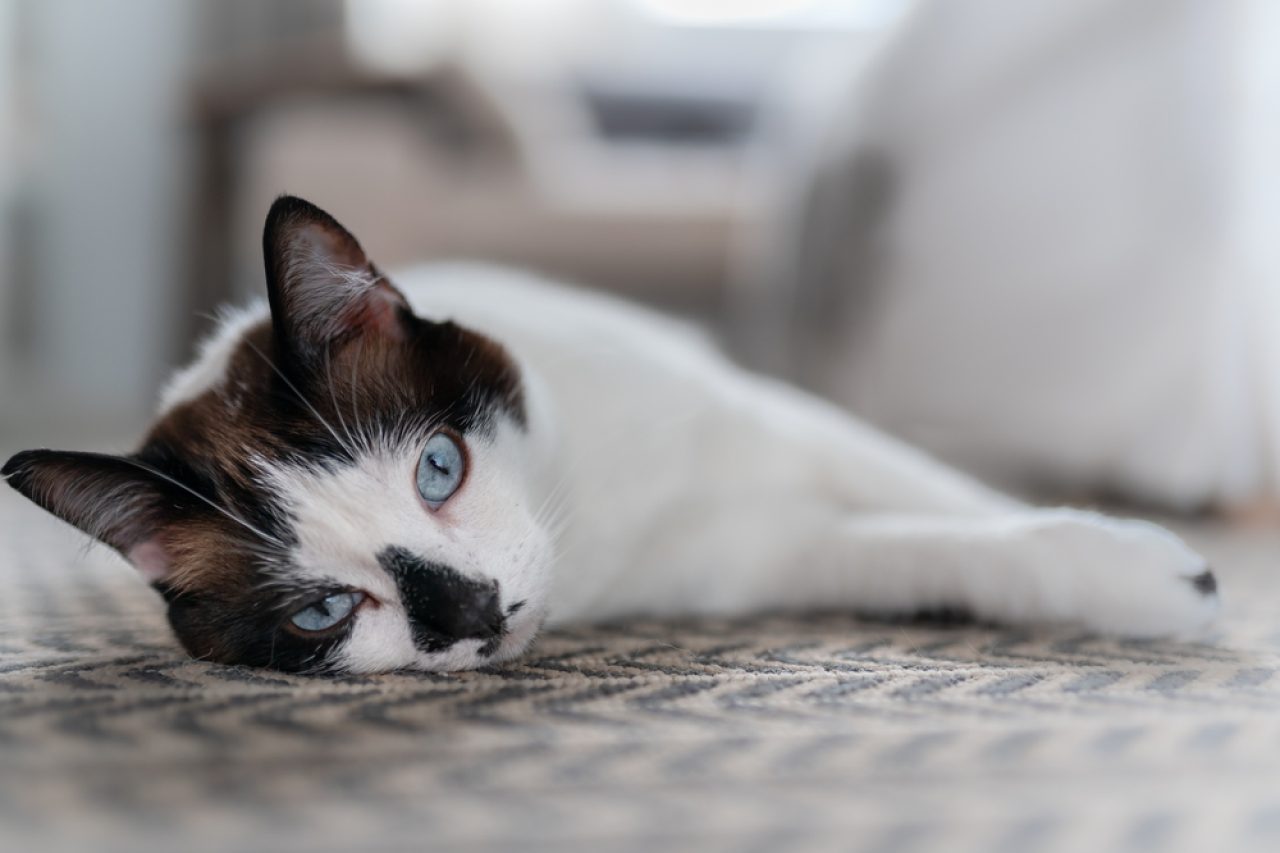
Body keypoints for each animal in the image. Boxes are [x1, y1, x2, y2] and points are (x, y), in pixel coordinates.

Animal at [0, 195, 1218, 676]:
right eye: (320, 612)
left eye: (437, 467)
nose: (471, 613)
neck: (597, 520)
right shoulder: (760, 558)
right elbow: (939, 550)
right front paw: (1138, 580)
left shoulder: (779, 421)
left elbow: (948, 493)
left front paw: (1163, 565)